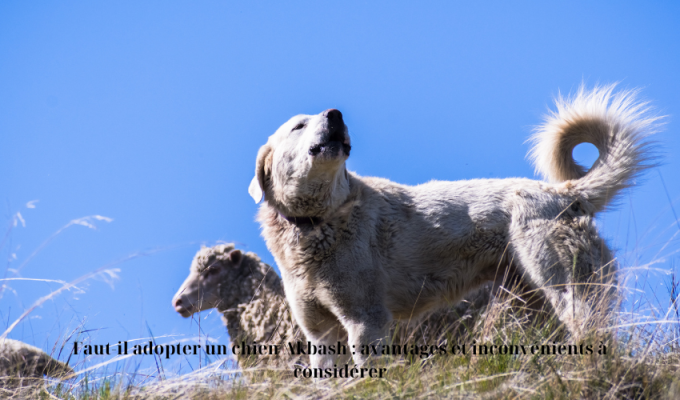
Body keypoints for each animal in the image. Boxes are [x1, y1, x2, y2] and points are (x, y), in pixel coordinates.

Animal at [250, 86, 660, 370]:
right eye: (298, 125)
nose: (335, 114)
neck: (319, 222)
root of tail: (566, 192)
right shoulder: (320, 334)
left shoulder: (367, 322)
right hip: (534, 301)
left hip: (567, 289)